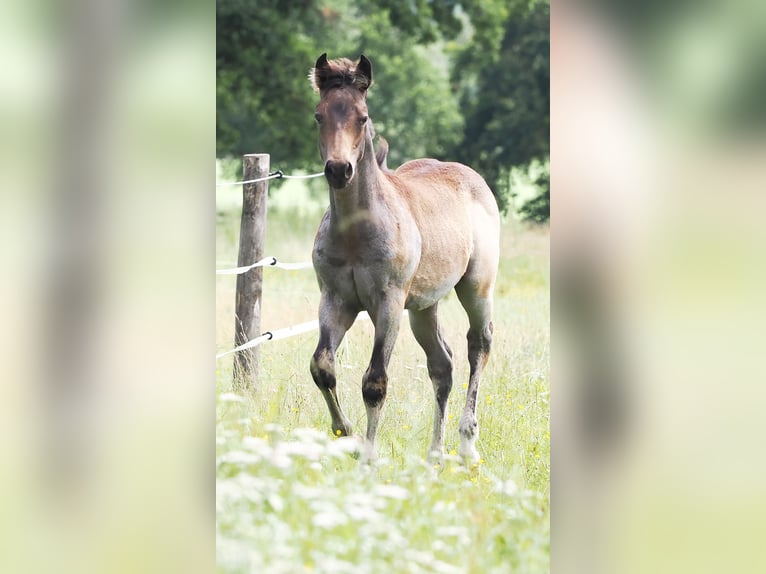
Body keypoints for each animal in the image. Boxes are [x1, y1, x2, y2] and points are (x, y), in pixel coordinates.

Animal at [308, 54, 500, 462]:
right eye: (319, 115)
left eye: (362, 116)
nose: (338, 170)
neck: (356, 233)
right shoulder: (335, 301)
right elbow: (322, 367)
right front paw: (346, 434)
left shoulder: (388, 304)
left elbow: (375, 382)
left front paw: (368, 456)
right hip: (423, 307)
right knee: (442, 364)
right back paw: (435, 455)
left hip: (476, 289)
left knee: (478, 345)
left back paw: (467, 445)